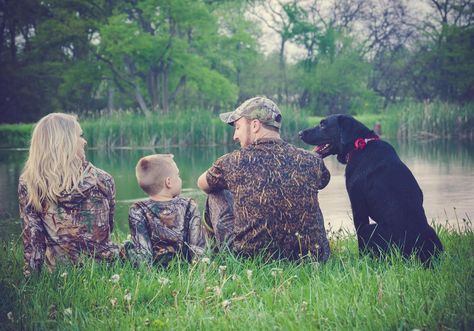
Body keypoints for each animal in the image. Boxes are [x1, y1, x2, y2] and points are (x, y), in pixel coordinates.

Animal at [298, 115, 442, 266]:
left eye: (323, 125)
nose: (300, 133)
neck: (358, 146)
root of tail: (420, 254)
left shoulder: (358, 207)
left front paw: (361, 261)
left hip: (370, 230)